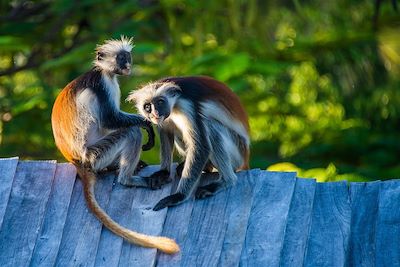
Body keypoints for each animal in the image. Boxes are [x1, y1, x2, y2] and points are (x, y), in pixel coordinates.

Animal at [51, 37, 178, 253]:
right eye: (121, 58)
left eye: (127, 57)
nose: (127, 64)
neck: (104, 71)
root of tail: (77, 162)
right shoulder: (102, 84)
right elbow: (110, 119)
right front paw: (147, 126)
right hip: (96, 155)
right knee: (130, 132)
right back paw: (127, 179)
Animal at [126, 75, 248, 211]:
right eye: (147, 107)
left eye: (160, 102)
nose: (155, 113)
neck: (175, 103)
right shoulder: (166, 117)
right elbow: (165, 130)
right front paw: (163, 173)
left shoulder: (188, 105)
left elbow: (202, 147)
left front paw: (178, 196)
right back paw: (205, 166)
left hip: (238, 150)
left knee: (210, 126)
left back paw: (227, 181)